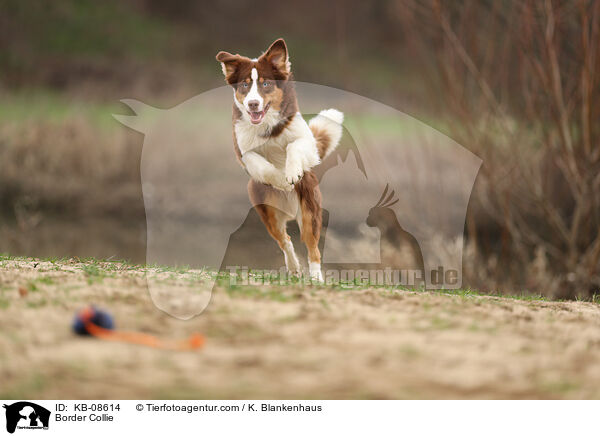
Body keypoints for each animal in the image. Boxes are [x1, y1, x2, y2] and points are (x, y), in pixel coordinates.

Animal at [218, 39, 344, 282]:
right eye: (245, 86)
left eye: (266, 84)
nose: (253, 104)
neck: (267, 125)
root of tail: (289, 211)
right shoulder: (242, 152)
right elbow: (259, 163)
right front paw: (280, 179)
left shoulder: (309, 144)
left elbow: (294, 146)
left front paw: (291, 173)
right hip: (268, 213)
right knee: (285, 240)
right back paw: (294, 268)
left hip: (309, 210)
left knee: (312, 246)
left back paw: (315, 276)